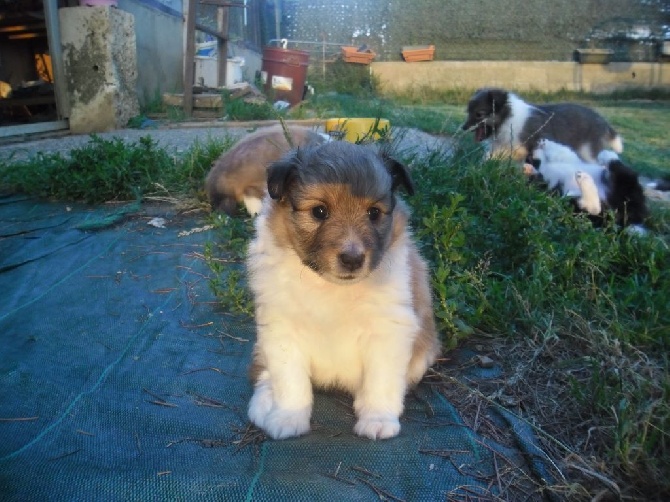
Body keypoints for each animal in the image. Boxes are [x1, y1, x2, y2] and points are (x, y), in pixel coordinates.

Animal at [247, 140, 440, 440]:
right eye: (319, 212)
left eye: (373, 213)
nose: (352, 259)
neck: (330, 287)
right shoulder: (281, 328)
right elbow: (290, 380)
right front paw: (288, 417)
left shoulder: (388, 330)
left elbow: (381, 380)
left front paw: (378, 419)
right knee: (266, 373)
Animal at [462, 87, 624, 162]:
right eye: (468, 112)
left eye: (479, 114)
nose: (463, 128)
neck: (508, 119)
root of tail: (602, 120)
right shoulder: (502, 148)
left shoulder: (528, 148)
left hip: (587, 151)